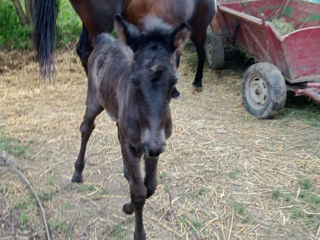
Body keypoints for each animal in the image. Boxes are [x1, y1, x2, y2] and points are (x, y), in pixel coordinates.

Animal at [34, 0, 215, 94]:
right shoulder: (196, 29)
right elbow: (198, 54)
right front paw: (194, 83)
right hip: (100, 25)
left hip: (88, 23)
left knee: (82, 50)